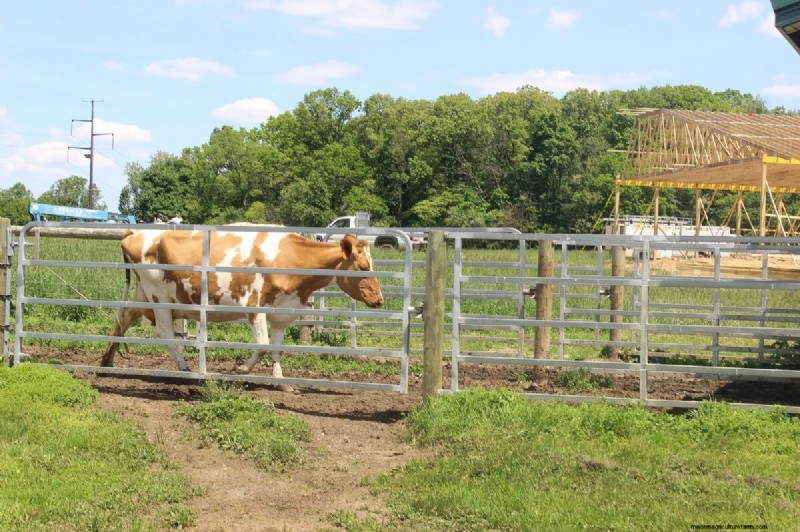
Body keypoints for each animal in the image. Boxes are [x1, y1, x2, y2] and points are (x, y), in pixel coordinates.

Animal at [101, 228, 384, 377]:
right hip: (159, 296)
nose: (379, 300)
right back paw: (184, 367)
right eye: (362, 267)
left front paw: (280, 379)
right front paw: (242, 369)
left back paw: (107, 360)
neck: (289, 257)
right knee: (165, 334)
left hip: (144, 295)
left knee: (122, 318)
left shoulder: (282, 311)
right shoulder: (254, 307)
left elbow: (276, 347)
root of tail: (136, 232)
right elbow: (263, 345)